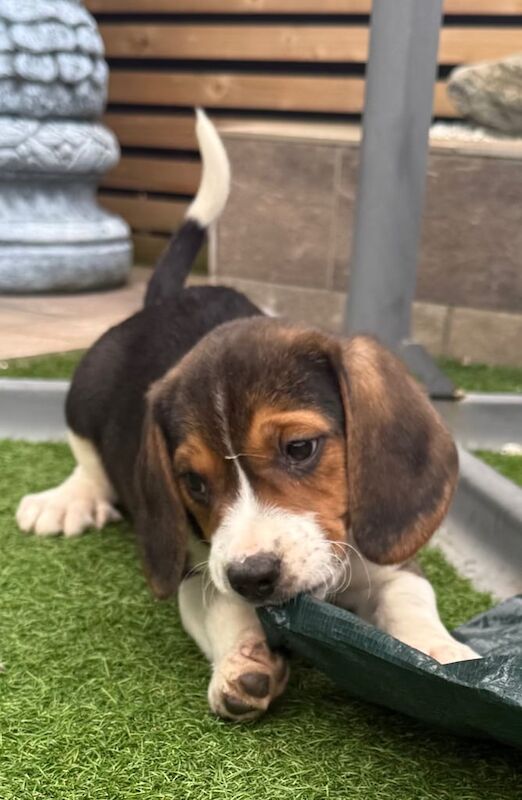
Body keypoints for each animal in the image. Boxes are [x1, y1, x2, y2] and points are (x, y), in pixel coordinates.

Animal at [16, 111, 478, 720]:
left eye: (300, 448)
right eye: (192, 482)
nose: (253, 576)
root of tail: (163, 301)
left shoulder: (392, 564)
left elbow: (412, 601)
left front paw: (440, 654)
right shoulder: (199, 571)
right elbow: (222, 607)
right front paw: (243, 661)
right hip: (85, 385)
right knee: (88, 459)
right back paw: (68, 500)